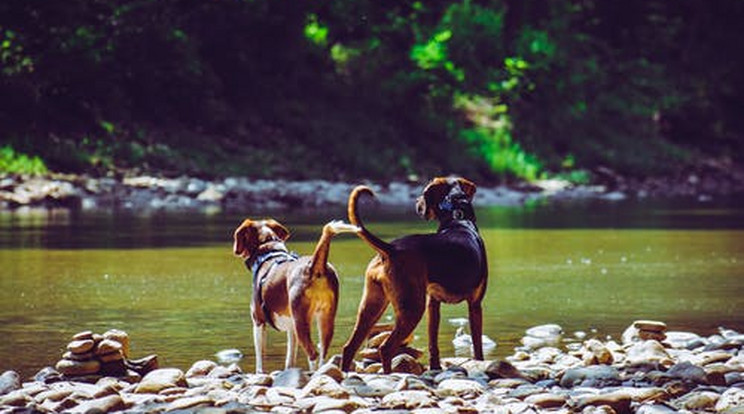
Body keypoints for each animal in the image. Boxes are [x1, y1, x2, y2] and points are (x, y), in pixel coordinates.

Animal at [234, 218, 358, 374]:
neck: (269, 252)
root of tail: (314, 266)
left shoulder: (258, 321)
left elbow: (260, 357)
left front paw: (260, 373)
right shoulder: (291, 328)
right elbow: (290, 358)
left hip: (301, 322)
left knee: (313, 353)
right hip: (326, 319)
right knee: (323, 352)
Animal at [342, 177, 488, 372]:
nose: (416, 202)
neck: (459, 219)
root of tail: (391, 248)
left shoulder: (433, 304)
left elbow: (433, 343)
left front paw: (435, 367)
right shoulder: (475, 304)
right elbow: (477, 344)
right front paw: (480, 363)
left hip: (372, 306)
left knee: (349, 347)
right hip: (412, 308)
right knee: (386, 348)